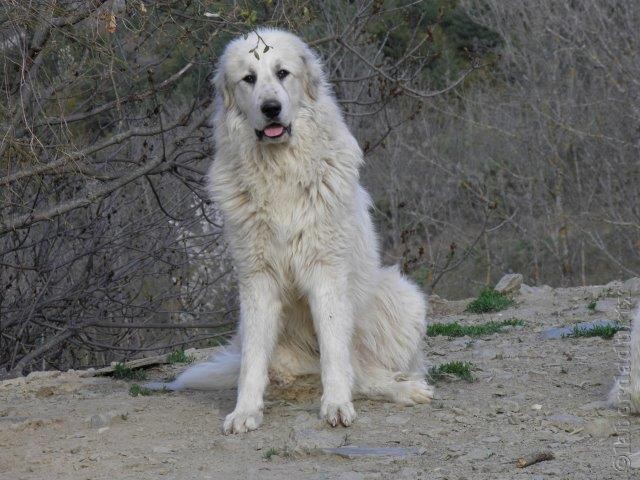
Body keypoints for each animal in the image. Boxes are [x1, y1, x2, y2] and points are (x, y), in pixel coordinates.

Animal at [156, 29, 436, 436]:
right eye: (249, 79)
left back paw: (407, 388)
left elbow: (335, 353)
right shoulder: (258, 279)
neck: (280, 173)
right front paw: (245, 411)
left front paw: (336, 406)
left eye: (282, 73)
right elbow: (252, 362)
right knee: (353, 375)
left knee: (360, 371)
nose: (271, 108)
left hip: (402, 296)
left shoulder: (326, 273)